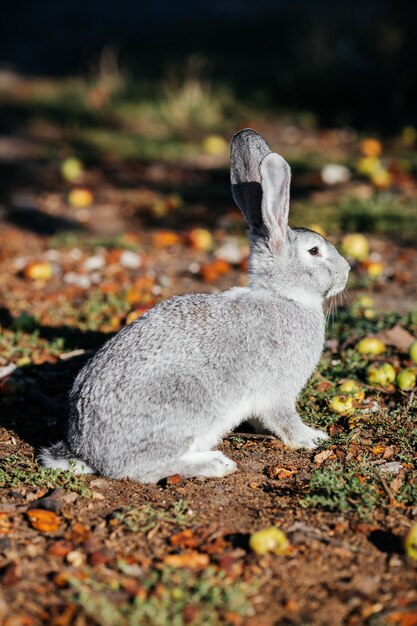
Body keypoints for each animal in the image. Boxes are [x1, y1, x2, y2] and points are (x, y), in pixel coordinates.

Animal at [40, 129, 350, 480]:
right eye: (314, 251)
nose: (346, 272)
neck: (283, 295)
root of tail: (88, 452)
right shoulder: (279, 392)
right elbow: (285, 420)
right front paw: (312, 438)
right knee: (143, 469)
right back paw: (215, 464)